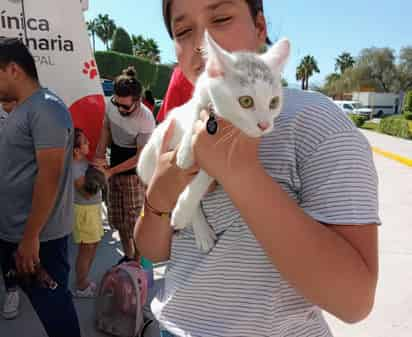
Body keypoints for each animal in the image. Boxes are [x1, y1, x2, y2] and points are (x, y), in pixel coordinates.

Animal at [136, 32, 290, 252]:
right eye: (246, 101)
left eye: (274, 103)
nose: (264, 125)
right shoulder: (195, 98)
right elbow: (193, 112)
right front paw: (185, 153)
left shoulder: (218, 157)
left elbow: (206, 174)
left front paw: (185, 205)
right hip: (147, 161)